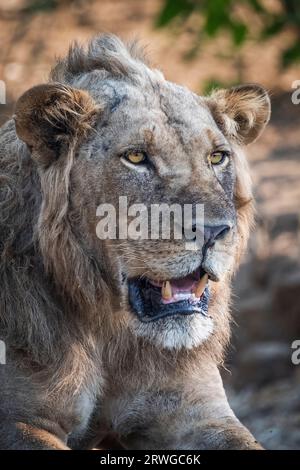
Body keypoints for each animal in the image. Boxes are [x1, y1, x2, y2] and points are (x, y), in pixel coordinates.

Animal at [0, 34, 270, 448]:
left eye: (217, 157)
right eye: (136, 157)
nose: (213, 231)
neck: (111, 328)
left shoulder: (197, 409)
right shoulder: (18, 418)